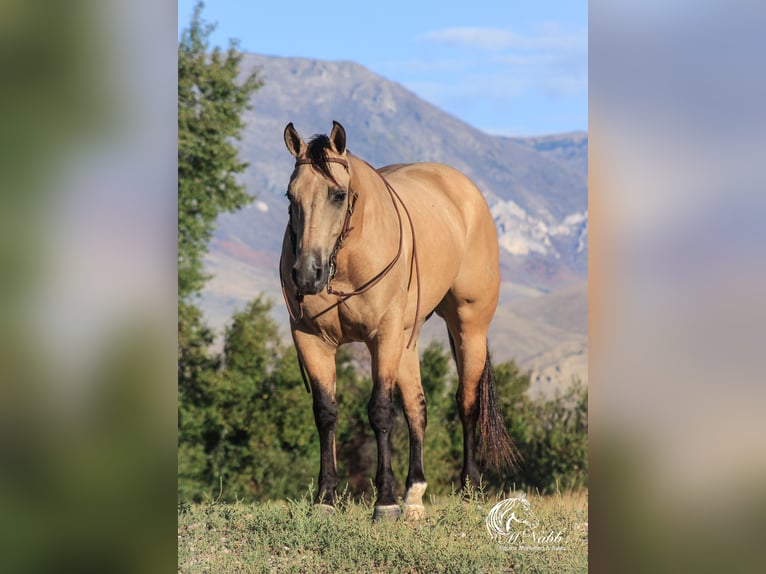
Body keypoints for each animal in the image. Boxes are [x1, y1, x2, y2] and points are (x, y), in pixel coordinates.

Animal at [280, 121, 520, 520]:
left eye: (338, 194)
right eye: (289, 197)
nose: (307, 274)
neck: (345, 263)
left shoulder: (383, 335)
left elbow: (380, 411)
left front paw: (385, 501)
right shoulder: (311, 339)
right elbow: (326, 412)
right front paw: (325, 498)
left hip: (468, 326)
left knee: (466, 403)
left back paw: (469, 488)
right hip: (409, 337)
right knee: (417, 408)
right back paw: (415, 493)